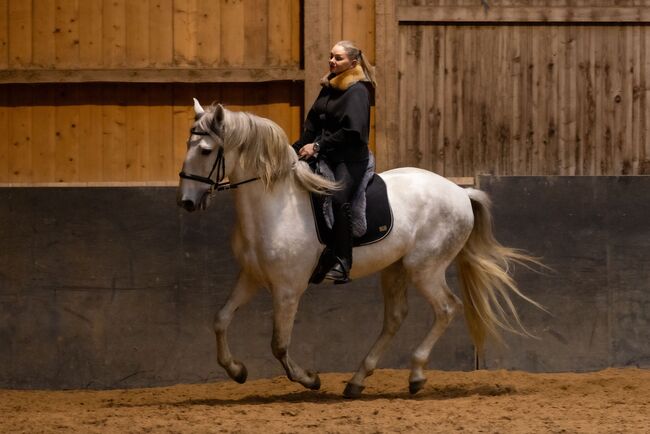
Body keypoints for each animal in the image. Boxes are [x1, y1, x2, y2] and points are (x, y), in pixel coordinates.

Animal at [177, 98, 540, 396]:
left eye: (205, 150)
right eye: (187, 145)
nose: (187, 202)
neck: (276, 203)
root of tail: (461, 192)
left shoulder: (288, 289)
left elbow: (278, 345)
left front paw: (310, 379)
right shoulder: (252, 277)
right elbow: (221, 319)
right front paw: (236, 370)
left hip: (425, 268)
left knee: (447, 308)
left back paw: (416, 375)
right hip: (394, 268)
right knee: (395, 317)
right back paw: (357, 381)